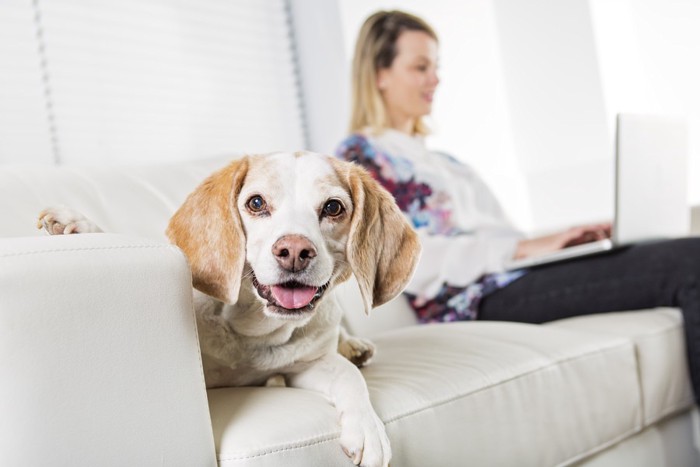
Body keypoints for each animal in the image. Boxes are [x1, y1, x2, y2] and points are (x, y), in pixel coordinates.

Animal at [39, 152, 422, 466]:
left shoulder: (307, 364)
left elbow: (349, 375)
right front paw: (79, 225)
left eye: (332, 208)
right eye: (256, 202)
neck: (252, 332)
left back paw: (354, 346)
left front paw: (368, 427)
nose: (294, 251)